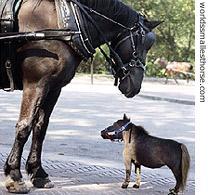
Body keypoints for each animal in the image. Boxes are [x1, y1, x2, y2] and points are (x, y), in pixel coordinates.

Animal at [1, 0, 161, 193]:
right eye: (144, 43)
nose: (136, 85)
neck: (63, 25)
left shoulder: (53, 88)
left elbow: (40, 128)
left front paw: (38, 172)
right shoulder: (36, 84)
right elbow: (25, 127)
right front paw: (14, 175)